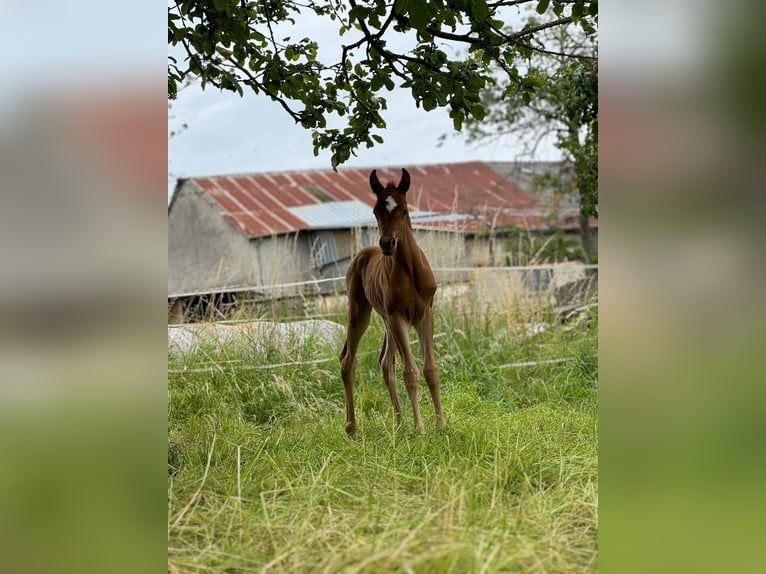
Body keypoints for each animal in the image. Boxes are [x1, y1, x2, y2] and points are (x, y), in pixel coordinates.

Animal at [340, 169, 448, 438]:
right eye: (376, 211)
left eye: (404, 211)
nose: (388, 244)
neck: (409, 269)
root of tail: (362, 255)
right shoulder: (399, 316)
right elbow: (410, 372)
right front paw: (420, 428)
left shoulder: (424, 314)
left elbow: (430, 369)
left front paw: (441, 424)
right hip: (361, 312)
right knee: (348, 360)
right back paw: (351, 427)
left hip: (386, 320)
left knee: (385, 362)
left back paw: (399, 424)